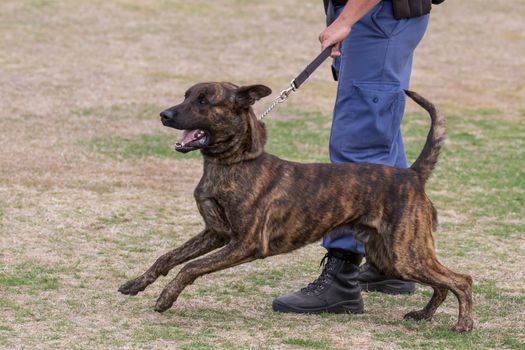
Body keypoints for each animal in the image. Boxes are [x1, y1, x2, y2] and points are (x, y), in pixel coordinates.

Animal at [119, 82, 474, 334]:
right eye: (186, 96)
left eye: (204, 101)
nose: (164, 115)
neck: (233, 164)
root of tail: (411, 174)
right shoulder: (215, 233)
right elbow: (168, 257)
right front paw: (137, 283)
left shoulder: (246, 244)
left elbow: (190, 267)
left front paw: (166, 297)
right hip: (391, 257)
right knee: (442, 283)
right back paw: (424, 314)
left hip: (404, 254)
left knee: (461, 280)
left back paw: (463, 325)